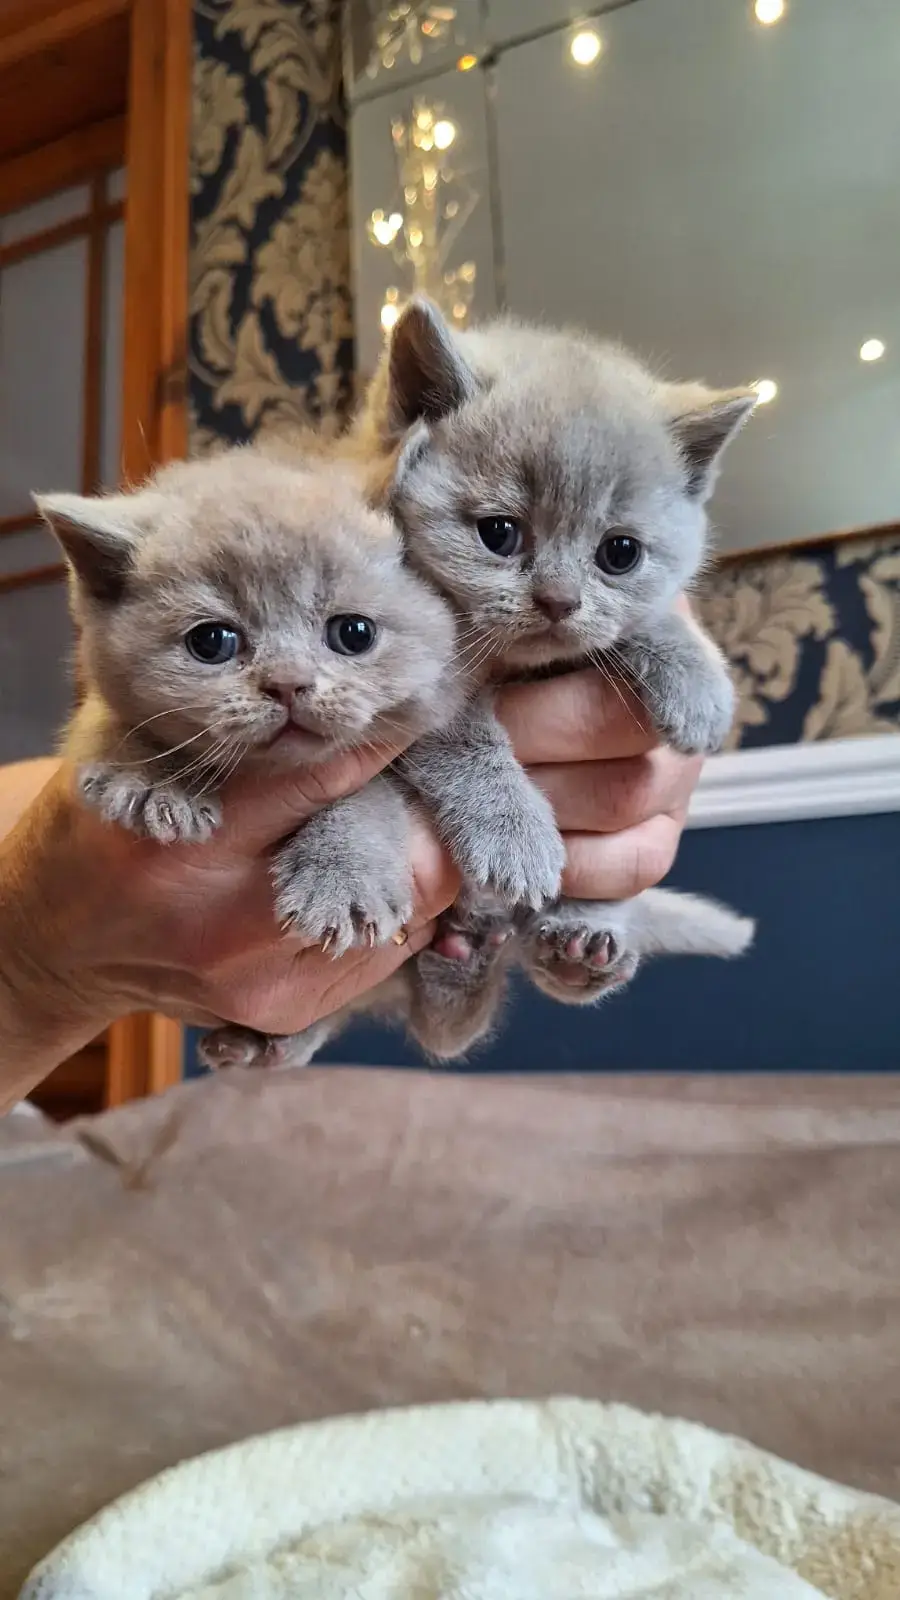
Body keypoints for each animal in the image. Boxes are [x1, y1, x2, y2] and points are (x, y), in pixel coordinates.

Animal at [37, 443, 464, 1064]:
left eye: (353, 633)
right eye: (211, 642)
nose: (287, 683)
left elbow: (369, 793)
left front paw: (344, 876)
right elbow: (110, 725)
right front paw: (151, 781)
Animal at [204, 301, 756, 1070]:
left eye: (619, 553)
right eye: (499, 533)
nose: (558, 600)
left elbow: (634, 625)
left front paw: (696, 679)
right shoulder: (407, 686)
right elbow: (462, 742)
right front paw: (514, 835)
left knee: (456, 1022)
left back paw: (570, 948)